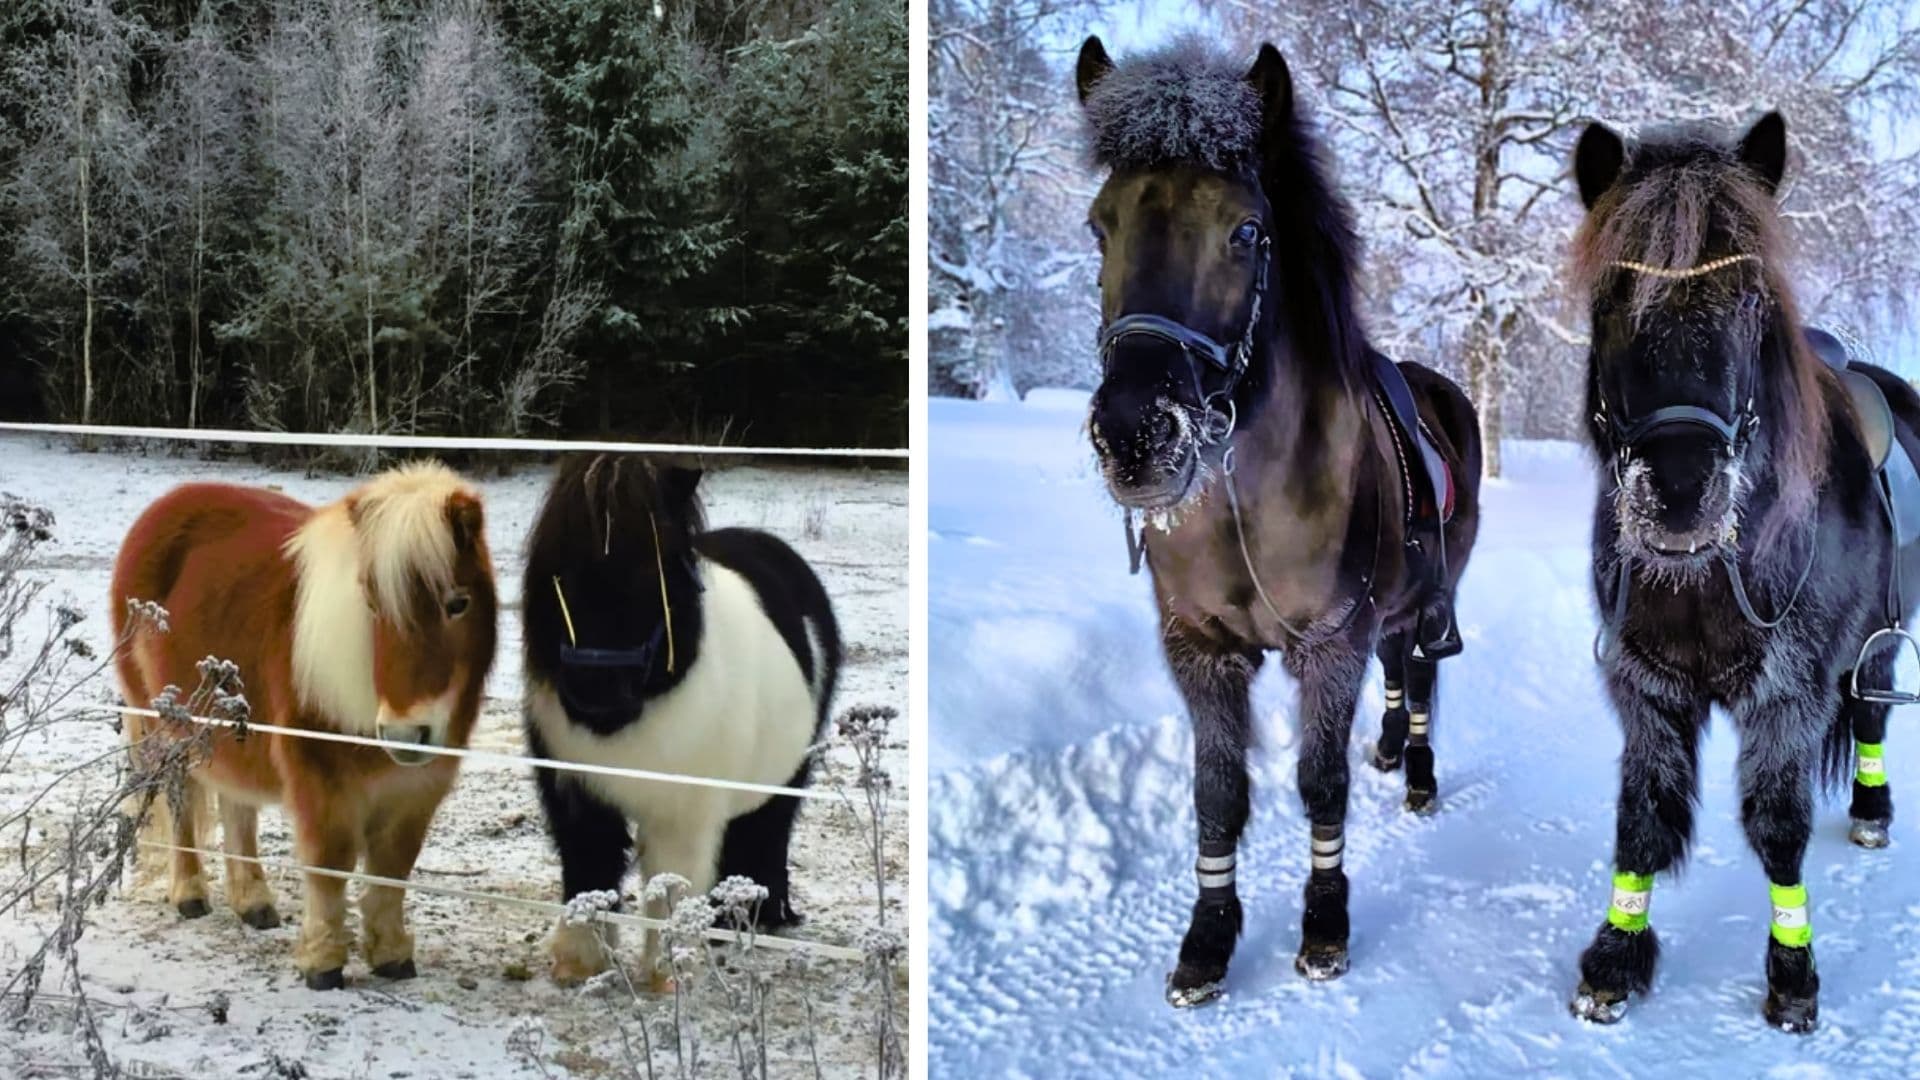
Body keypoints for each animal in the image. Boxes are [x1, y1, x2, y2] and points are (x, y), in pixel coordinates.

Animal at [112, 461, 499, 990]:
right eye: (372, 605)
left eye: (458, 603)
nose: (406, 734)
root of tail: (166, 506)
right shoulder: (322, 781)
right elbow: (329, 866)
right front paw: (323, 963)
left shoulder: (416, 789)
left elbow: (392, 870)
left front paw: (392, 955)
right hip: (163, 730)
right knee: (179, 800)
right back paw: (190, 894)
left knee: (237, 807)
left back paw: (253, 903)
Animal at [520, 453, 840, 985]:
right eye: (558, 572)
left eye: (659, 572)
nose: (595, 693)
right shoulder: (578, 794)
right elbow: (589, 862)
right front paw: (581, 962)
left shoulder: (681, 813)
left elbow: (671, 886)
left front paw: (666, 972)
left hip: (787, 776)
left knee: (767, 831)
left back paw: (760, 916)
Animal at [1073, 37, 1484, 1007]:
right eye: (1101, 227)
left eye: (1247, 232)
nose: (1135, 433)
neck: (1244, 506)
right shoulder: (1201, 651)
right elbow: (1218, 793)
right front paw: (1208, 939)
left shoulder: (1328, 642)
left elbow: (1319, 784)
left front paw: (1325, 926)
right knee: (1400, 672)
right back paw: (1392, 750)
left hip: (1426, 601)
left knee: (1421, 675)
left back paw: (1417, 772)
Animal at [1566, 112, 1919, 1033]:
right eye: (1610, 300)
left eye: (1751, 300)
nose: (1681, 492)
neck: (1712, 574)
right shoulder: (1648, 689)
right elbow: (1642, 822)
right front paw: (1614, 959)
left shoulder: (1789, 694)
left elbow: (1778, 828)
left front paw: (1793, 976)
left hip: (1880, 645)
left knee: (1872, 715)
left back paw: (1871, 812)